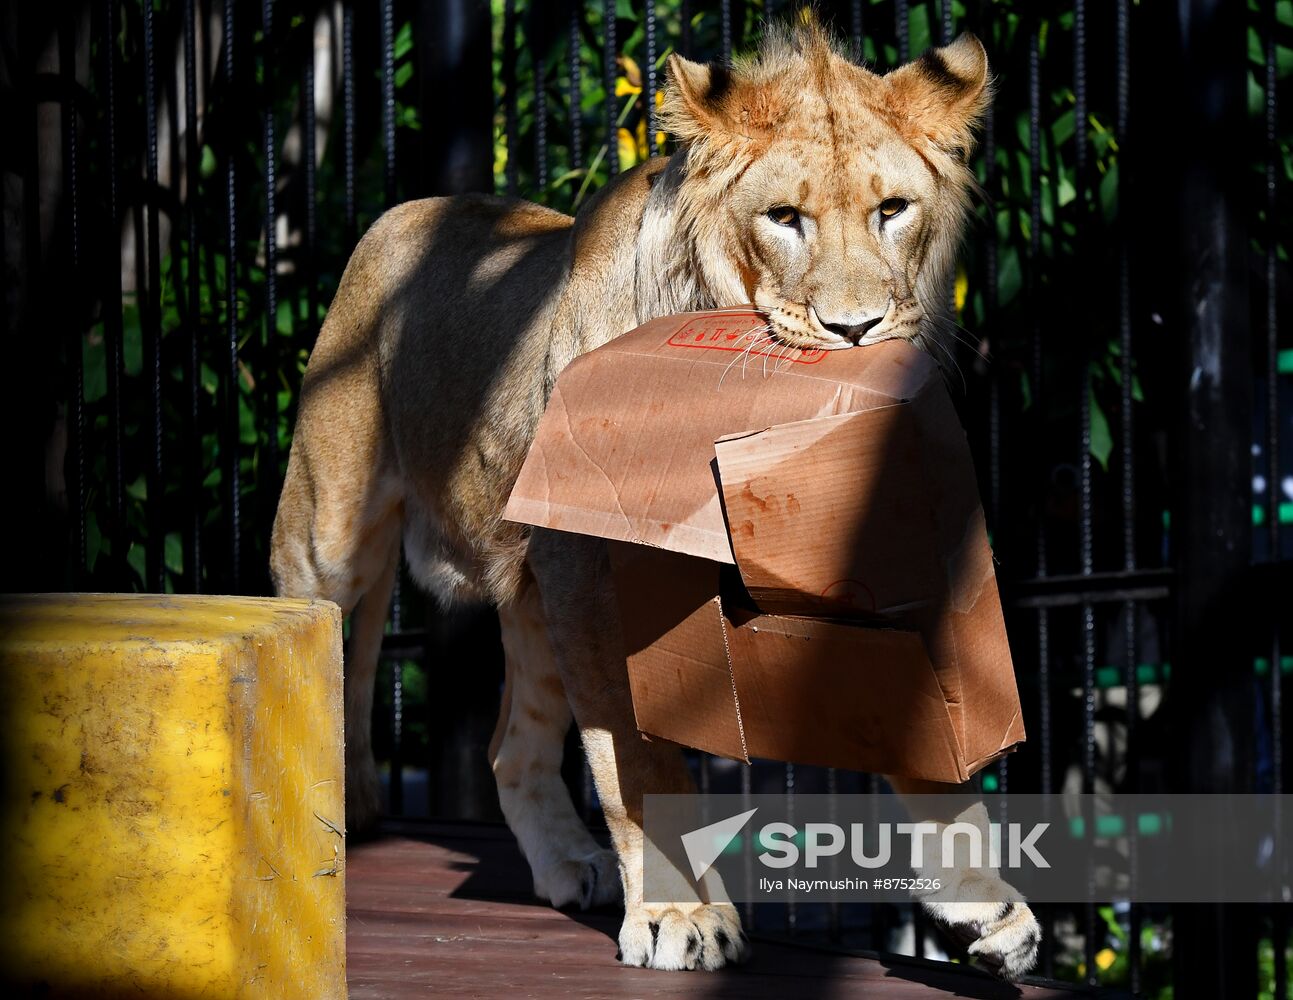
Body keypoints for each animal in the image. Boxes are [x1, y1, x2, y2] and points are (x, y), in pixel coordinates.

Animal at [270, 21, 1039, 972]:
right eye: (784, 219)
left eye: (890, 210)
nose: (854, 329)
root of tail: (408, 211)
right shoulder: (592, 571)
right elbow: (635, 757)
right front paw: (679, 914)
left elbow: (916, 721)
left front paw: (984, 904)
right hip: (329, 547)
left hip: (531, 602)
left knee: (510, 748)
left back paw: (572, 864)